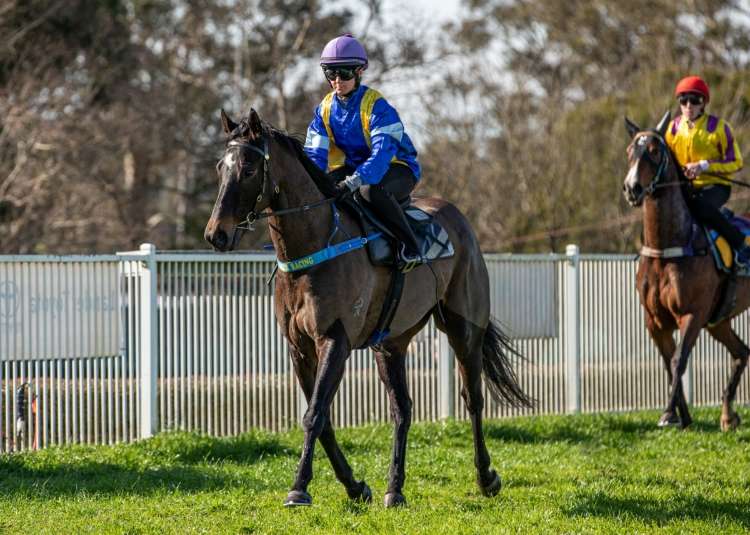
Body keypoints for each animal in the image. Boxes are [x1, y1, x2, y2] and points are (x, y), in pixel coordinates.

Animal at [204, 108, 531, 507]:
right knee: (402, 408)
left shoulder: (335, 340)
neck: (313, 249)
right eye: (220, 166)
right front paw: (355, 486)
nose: (216, 234)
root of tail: (459, 219)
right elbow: (323, 418)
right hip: (390, 344)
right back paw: (396, 488)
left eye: (249, 169)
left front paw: (299, 487)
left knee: (474, 398)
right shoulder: (299, 348)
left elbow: (315, 414)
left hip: (463, 328)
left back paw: (486, 477)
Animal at [623, 111, 749, 431]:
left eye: (654, 151)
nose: (632, 188)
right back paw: (728, 415)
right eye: (630, 151)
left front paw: (669, 413)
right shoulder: (655, 321)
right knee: (741, 353)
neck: (668, 247)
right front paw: (683, 416)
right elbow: (669, 364)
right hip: (719, 321)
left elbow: (679, 360)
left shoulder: (692, 314)